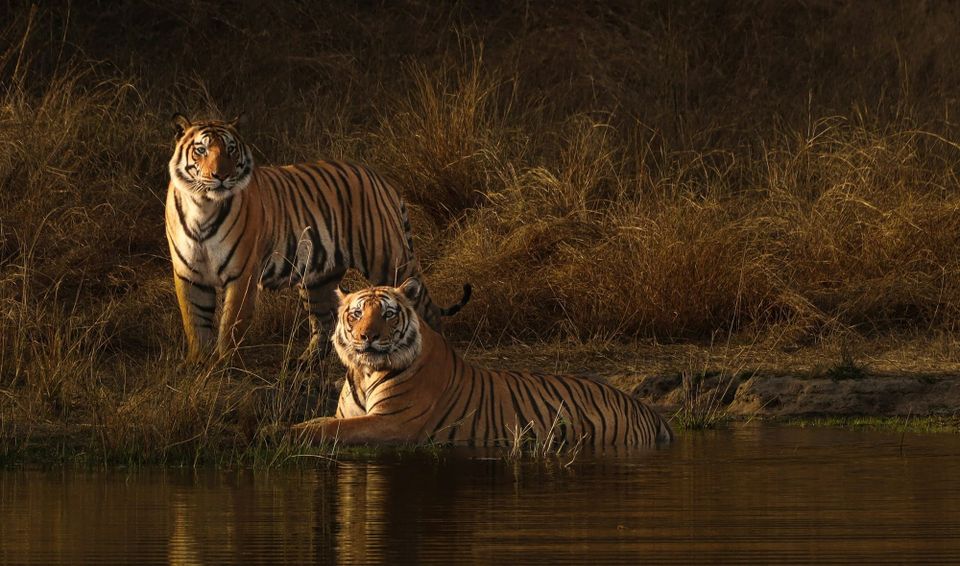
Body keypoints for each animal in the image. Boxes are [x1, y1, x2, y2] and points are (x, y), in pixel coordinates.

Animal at [164, 114, 470, 364]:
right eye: (201, 150)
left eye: (230, 149)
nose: (221, 176)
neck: (203, 206)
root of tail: (380, 178)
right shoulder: (188, 274)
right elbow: (194, 321)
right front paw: (199, 364)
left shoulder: (242, 275)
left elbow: (231, 324)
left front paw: (225, 363)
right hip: (317, 277)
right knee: (324, 321)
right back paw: (306, 362)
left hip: (389, 260)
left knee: (424, 308)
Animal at [291, 279, 674, 447]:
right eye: (356, 314)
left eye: (387, 314)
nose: (366, 336)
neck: (364, 372)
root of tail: (645, 407)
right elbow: (321, 422)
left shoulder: (392, 423)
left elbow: (327, 429)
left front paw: (280, 432)